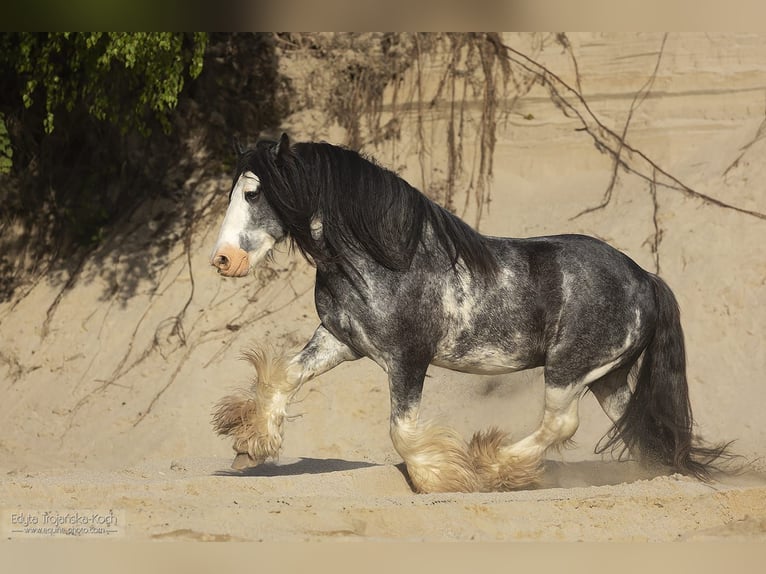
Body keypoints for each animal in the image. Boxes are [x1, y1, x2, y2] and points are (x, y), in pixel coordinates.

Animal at [210, 135, 732, 496]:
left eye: (253, 194)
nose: (223, 260)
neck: (384, 259)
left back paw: (493, 464)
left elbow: (402, 429)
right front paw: (250, 445)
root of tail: (645, 277)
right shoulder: (341, 340)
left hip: (569, 369)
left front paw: (442, 478)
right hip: (608, 376)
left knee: (561, 424)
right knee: (638, 425)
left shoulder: (408, 358)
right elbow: (284, 377)